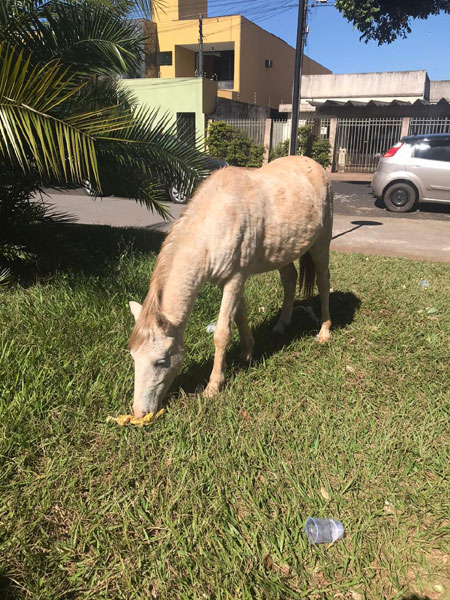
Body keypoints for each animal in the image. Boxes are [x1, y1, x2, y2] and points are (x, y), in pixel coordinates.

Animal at [128, 155, 332, 418]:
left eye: (160, 361)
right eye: (134, 357)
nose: (139, 412)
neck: (215, 222)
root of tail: (316, 166)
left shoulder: (234, 278)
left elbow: (222, 333)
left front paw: (213, 386)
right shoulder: (232, 280)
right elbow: (240, 316)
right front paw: (247, 353)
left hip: (321, 243)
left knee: (323, 282)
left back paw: (324, 332)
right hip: (284, 251)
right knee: (289, 280)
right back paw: (281, 326)